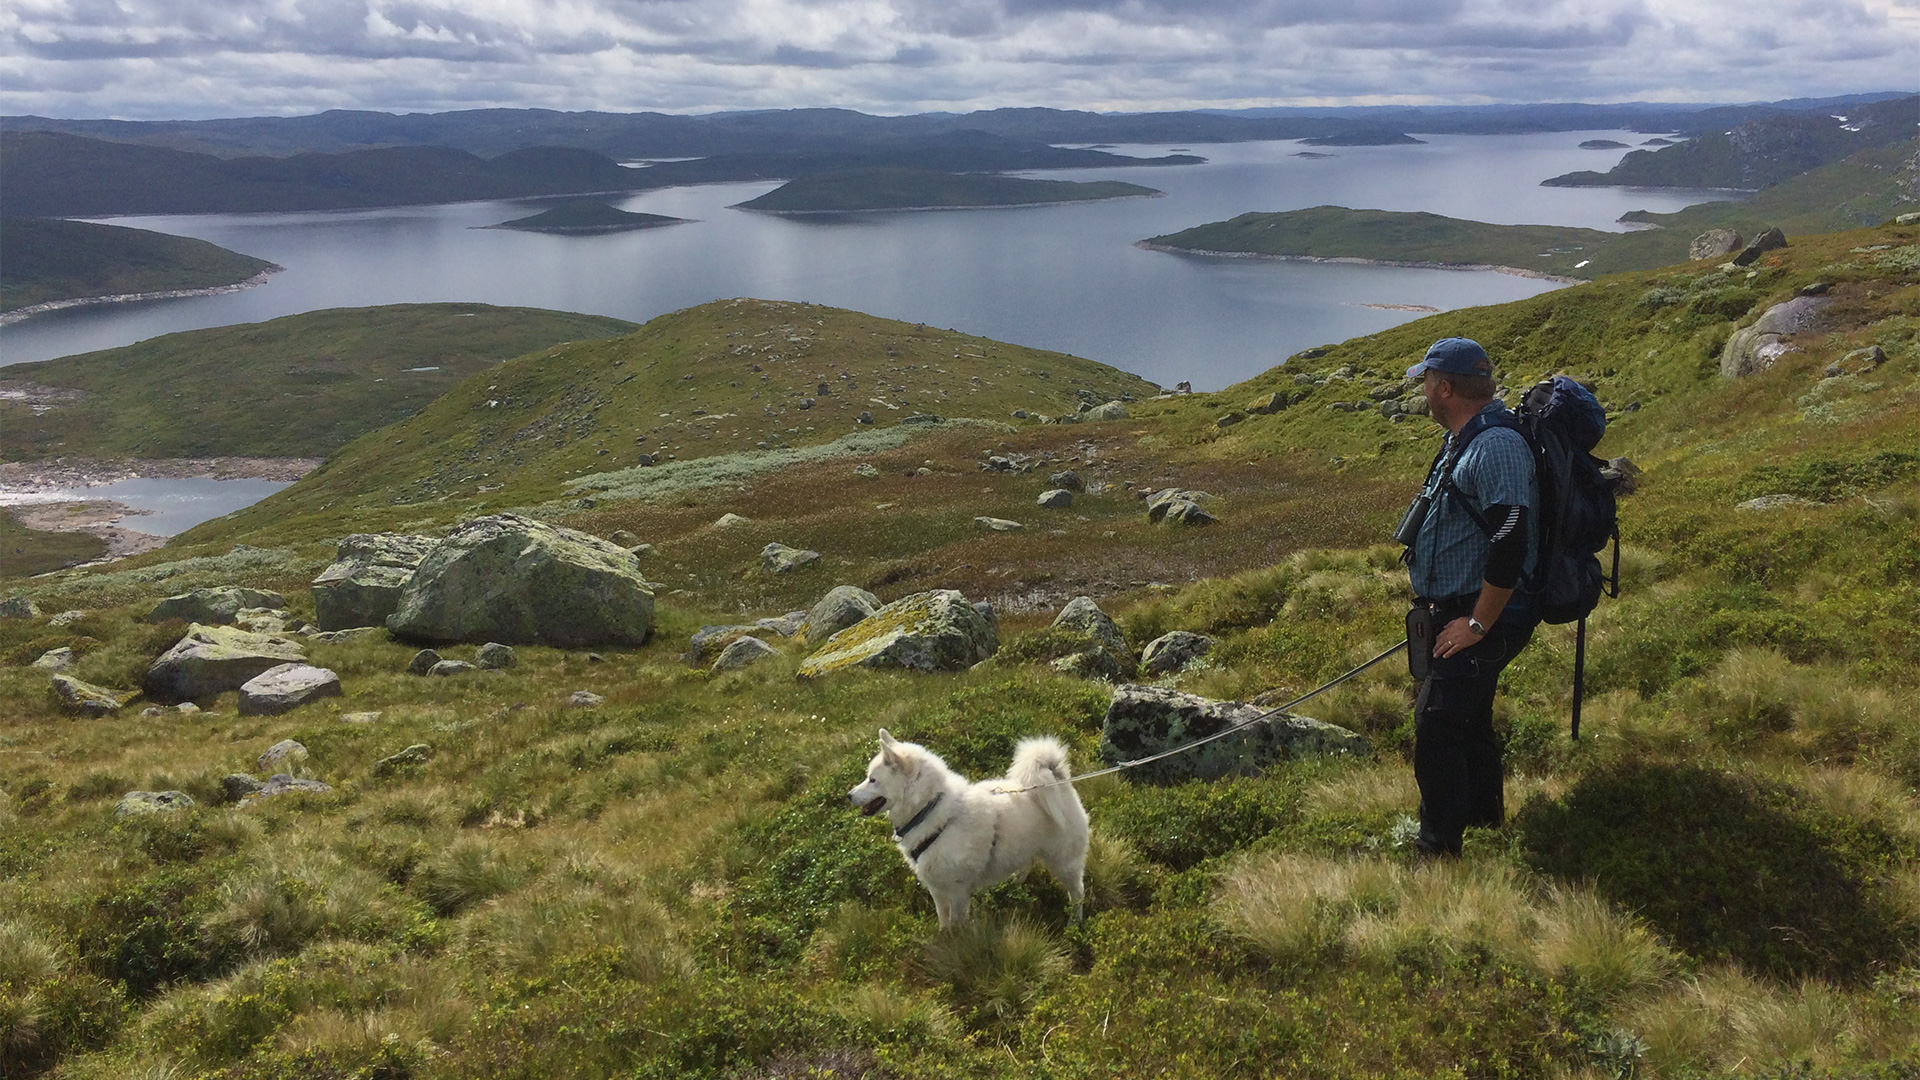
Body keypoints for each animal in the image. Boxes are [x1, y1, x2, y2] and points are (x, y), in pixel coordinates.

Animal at [848, 722, 1090, 926]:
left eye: (872, 780)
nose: (848, 795)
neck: (929, 810)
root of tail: (1059, 779)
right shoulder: (937, 887)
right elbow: (943, 919)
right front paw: (943, 938)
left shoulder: (958, 890)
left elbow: (956, 922)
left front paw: (958, 942)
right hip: (1026, 847)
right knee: (1028, 862)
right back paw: (1015, 882)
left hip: (1065, 862)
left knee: (1078, 893)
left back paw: (1074, 923)